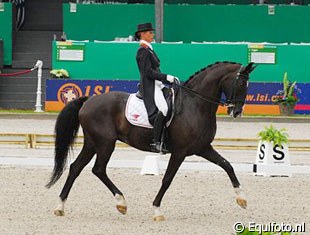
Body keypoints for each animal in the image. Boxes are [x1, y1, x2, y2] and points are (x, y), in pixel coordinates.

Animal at [47, 60, 256, 220]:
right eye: (240, 84)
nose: (237, 112)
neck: (196, 104)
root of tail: (89, 100)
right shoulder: (180, 151)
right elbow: (167, 179)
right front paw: (157, 211)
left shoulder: (202, 148)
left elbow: (227, 165)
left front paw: (242, 199)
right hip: (105, 143)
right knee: (98, 169)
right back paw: (121, 203)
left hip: (92, 143)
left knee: (76, 168)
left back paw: (60, 207)